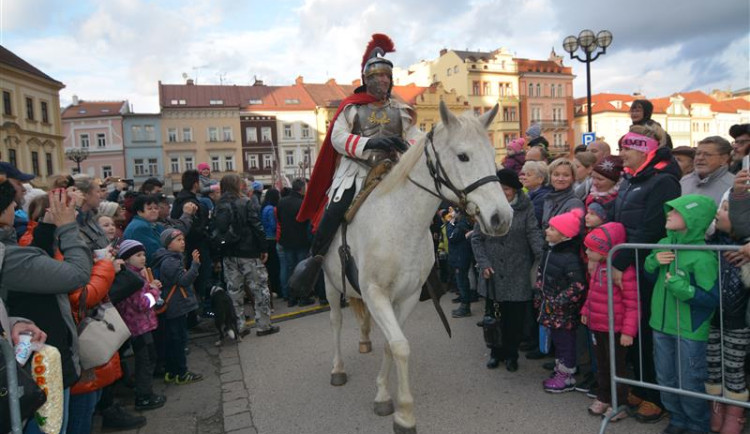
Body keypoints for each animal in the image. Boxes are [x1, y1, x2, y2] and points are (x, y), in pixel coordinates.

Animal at [320, 101, 516, 434]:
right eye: (463, 156)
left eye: (493, 155)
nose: (501, 218)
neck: (401, 221)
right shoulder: (376, 293)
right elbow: (400, 346)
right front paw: (405, 415)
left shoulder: (407, 296)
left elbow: (391, 344)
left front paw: (384, 396)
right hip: (331, 285)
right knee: (335, 322)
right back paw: (336, 369)